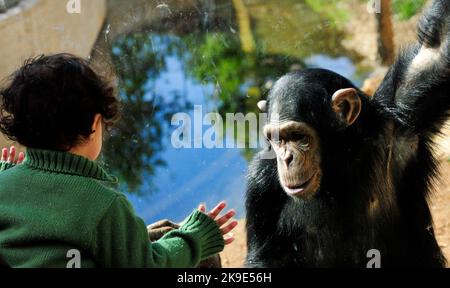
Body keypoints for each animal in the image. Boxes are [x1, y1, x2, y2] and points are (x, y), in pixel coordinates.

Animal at [246, 0, 450, 268]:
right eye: (277, 139)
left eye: (299, 137)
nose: (286, 158)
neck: (336, 164)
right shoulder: (258, 184)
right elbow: (264, 257)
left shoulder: (402, 117)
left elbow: (437, 49)